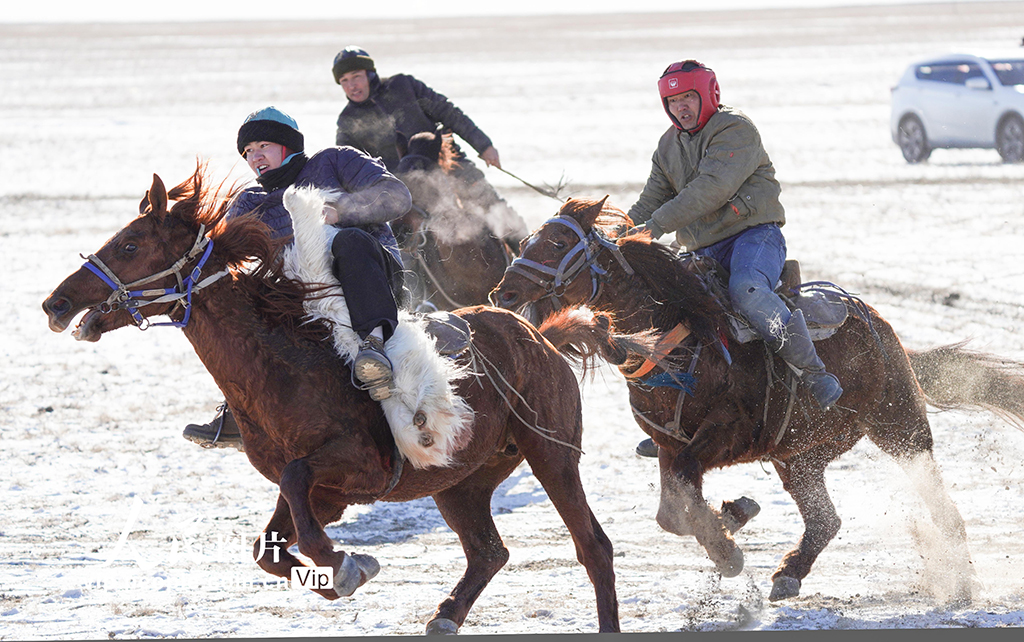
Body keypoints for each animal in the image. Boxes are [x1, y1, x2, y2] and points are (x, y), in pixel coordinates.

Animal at [37, 167, 614, 634]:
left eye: (130, 246)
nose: (56, 302)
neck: (282, 363)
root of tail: (538, 336)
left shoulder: (356, 467)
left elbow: (301, 501)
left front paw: (347, 565)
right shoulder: (319, 492)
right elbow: (267, 547)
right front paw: (339, 574)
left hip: (552, 454)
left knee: (593, 546)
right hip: (460, 481)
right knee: (489, 552)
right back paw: (444, 617)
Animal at [487, 198, 1024, 606]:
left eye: (559, 244)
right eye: (529, 240)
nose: (503, 291)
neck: (680, 337)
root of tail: (878, 323)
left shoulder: (725, 432)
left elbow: (683, 496)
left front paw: (728, 541)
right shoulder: (668, 443)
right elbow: (671, 511)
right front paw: (732, 519)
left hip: (899, 428)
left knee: (941, 505)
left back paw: (959, 583)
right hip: (799, 454)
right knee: (825, 519)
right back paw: (788, 573)